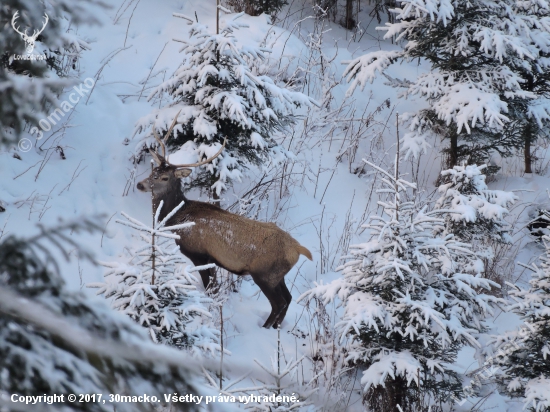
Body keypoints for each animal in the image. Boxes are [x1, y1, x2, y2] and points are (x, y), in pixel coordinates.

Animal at [136, 112, 312, 328]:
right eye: (154, 172)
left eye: (165, 178)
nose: (140, 185)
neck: (178, 219)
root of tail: (298, 249)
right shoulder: (212, 260)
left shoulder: (199, 254)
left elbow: (211, 289)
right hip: (278, 276)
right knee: (288, 298)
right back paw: (276, 327)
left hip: (264, 274)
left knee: (279, 303)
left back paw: (265, 327)